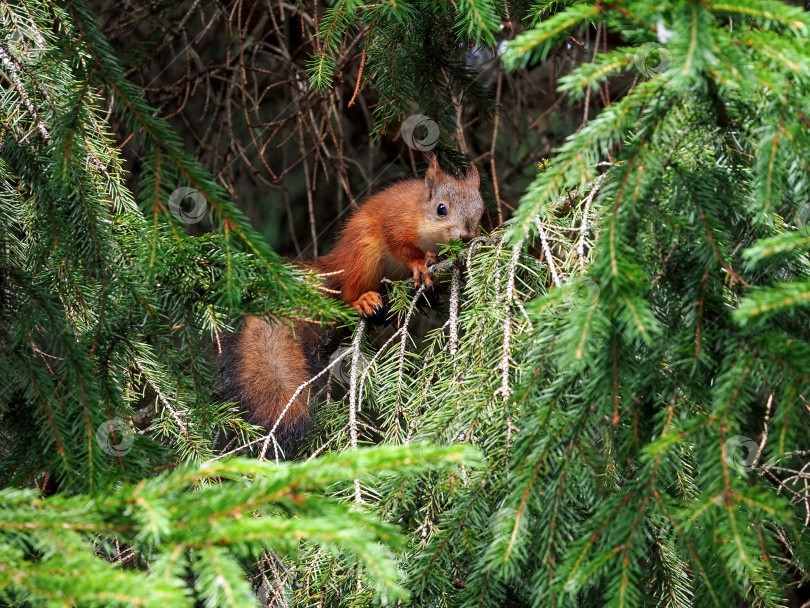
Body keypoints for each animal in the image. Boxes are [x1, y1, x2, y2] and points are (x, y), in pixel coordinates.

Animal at [218, 156, 482, 456]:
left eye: (480, 210)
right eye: (441, 209)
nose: (466, 237)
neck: (421, 216)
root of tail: (338, 265)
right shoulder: (396, 222)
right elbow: (402, 247)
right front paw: (419, 263)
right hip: (363, 255)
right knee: (348, 295)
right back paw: (363, 300)